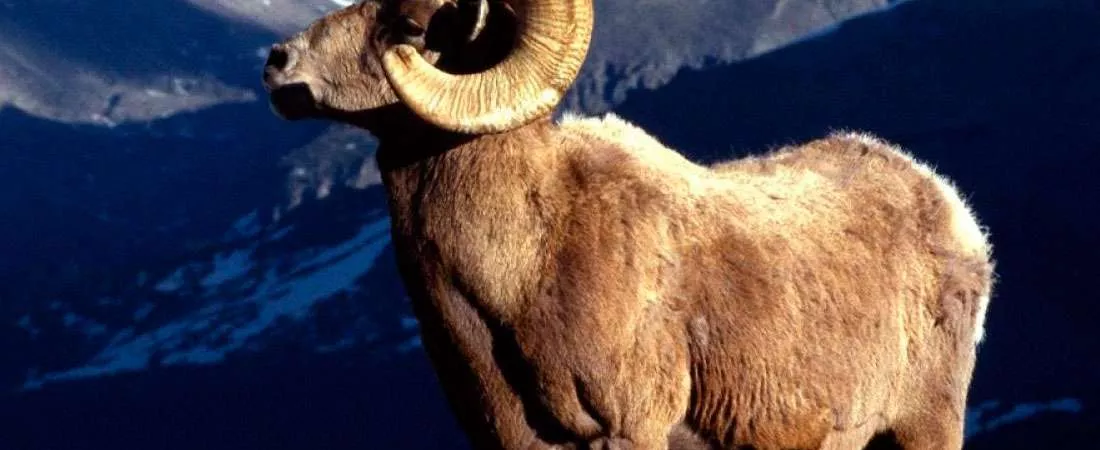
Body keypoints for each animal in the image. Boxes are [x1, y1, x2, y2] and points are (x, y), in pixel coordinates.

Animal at [261, 0, 995, 448]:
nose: (278, 63)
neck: (518, 273)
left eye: (412, 28)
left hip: (923, 429)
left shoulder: (626, 429)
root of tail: (950, 210)